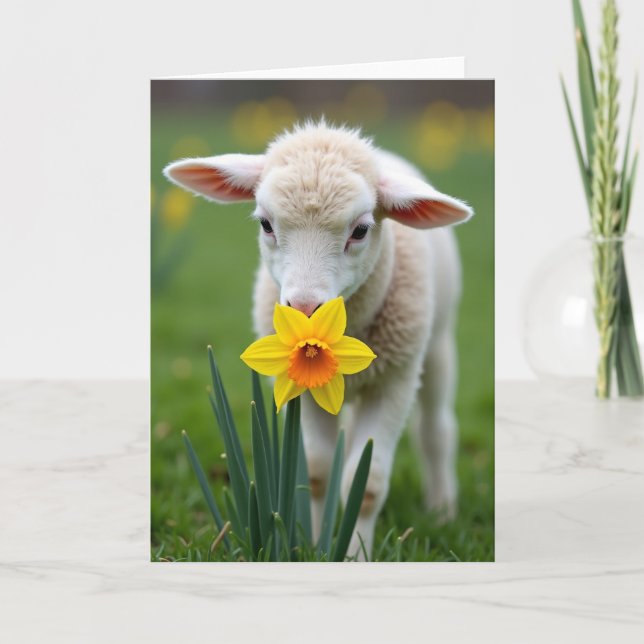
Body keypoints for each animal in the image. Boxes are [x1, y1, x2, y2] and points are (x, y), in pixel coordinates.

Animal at [164, 121, 473, 559]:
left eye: (360, 230)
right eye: (265, 224)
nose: (305, 308)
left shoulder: (394, 380)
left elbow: (368, 484)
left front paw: (357, 553)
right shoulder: (303, 389)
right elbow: (317, 471)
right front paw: (312, 543)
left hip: (437, 344)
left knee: (436, 430)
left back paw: (442, 508)